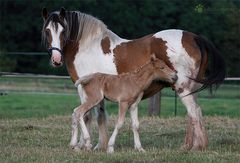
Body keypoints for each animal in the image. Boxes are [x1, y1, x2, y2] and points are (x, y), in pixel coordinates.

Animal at [42, 7, 226, 150]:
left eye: (63, 30)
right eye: (47, 31)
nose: (56, 59)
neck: (88, 46)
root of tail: (194, 37)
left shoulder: (83, 89)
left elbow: (86, 116)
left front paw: (82, 144)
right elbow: (98, 116)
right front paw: (98, 145)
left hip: (182, 87)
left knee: (193, 113)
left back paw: (196, 147)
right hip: (190, 89)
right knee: (195, 112)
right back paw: (189, 145)